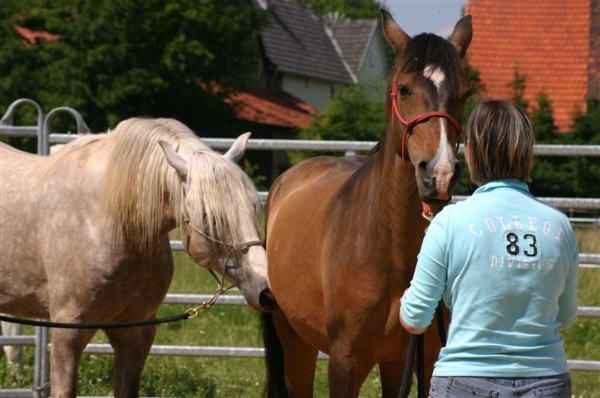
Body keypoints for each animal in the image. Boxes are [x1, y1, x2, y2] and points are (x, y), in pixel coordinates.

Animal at [262, 10, 474, 396]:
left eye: (464, 93)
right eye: (404, 89)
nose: (439, 174)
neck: (387, 249)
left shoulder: (413, 360)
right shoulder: (346, 363)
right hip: (295, 342)